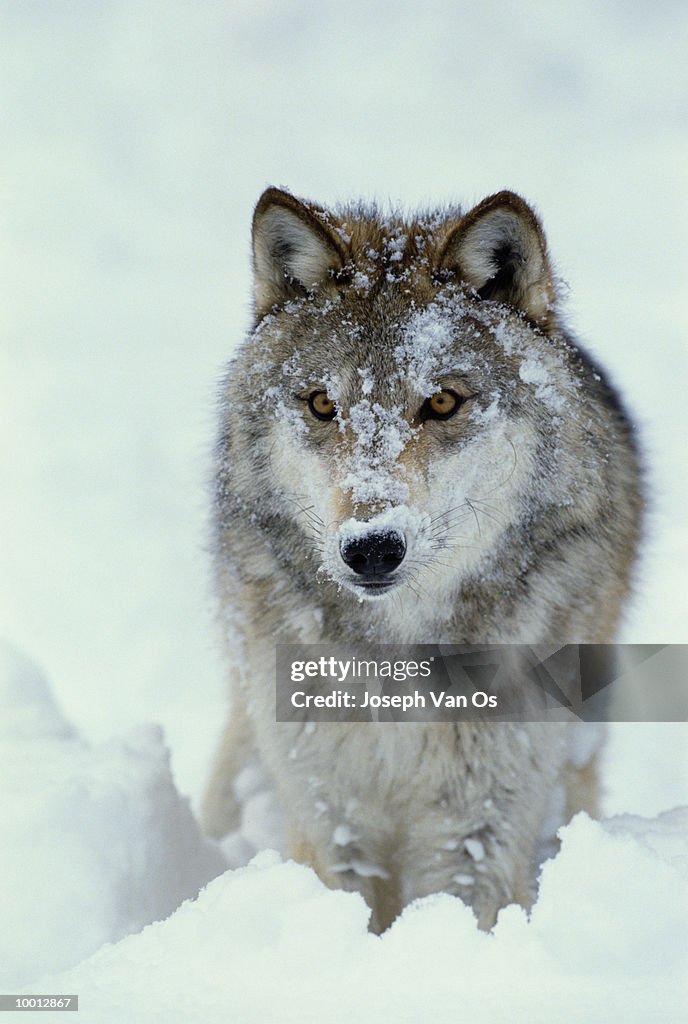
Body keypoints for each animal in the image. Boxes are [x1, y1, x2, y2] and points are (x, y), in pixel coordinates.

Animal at [201, 188, 642, 933]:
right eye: (323, 404)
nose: (371, 548)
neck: (399, 663)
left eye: (440, 401)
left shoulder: (480, 820)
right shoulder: (331, 811)